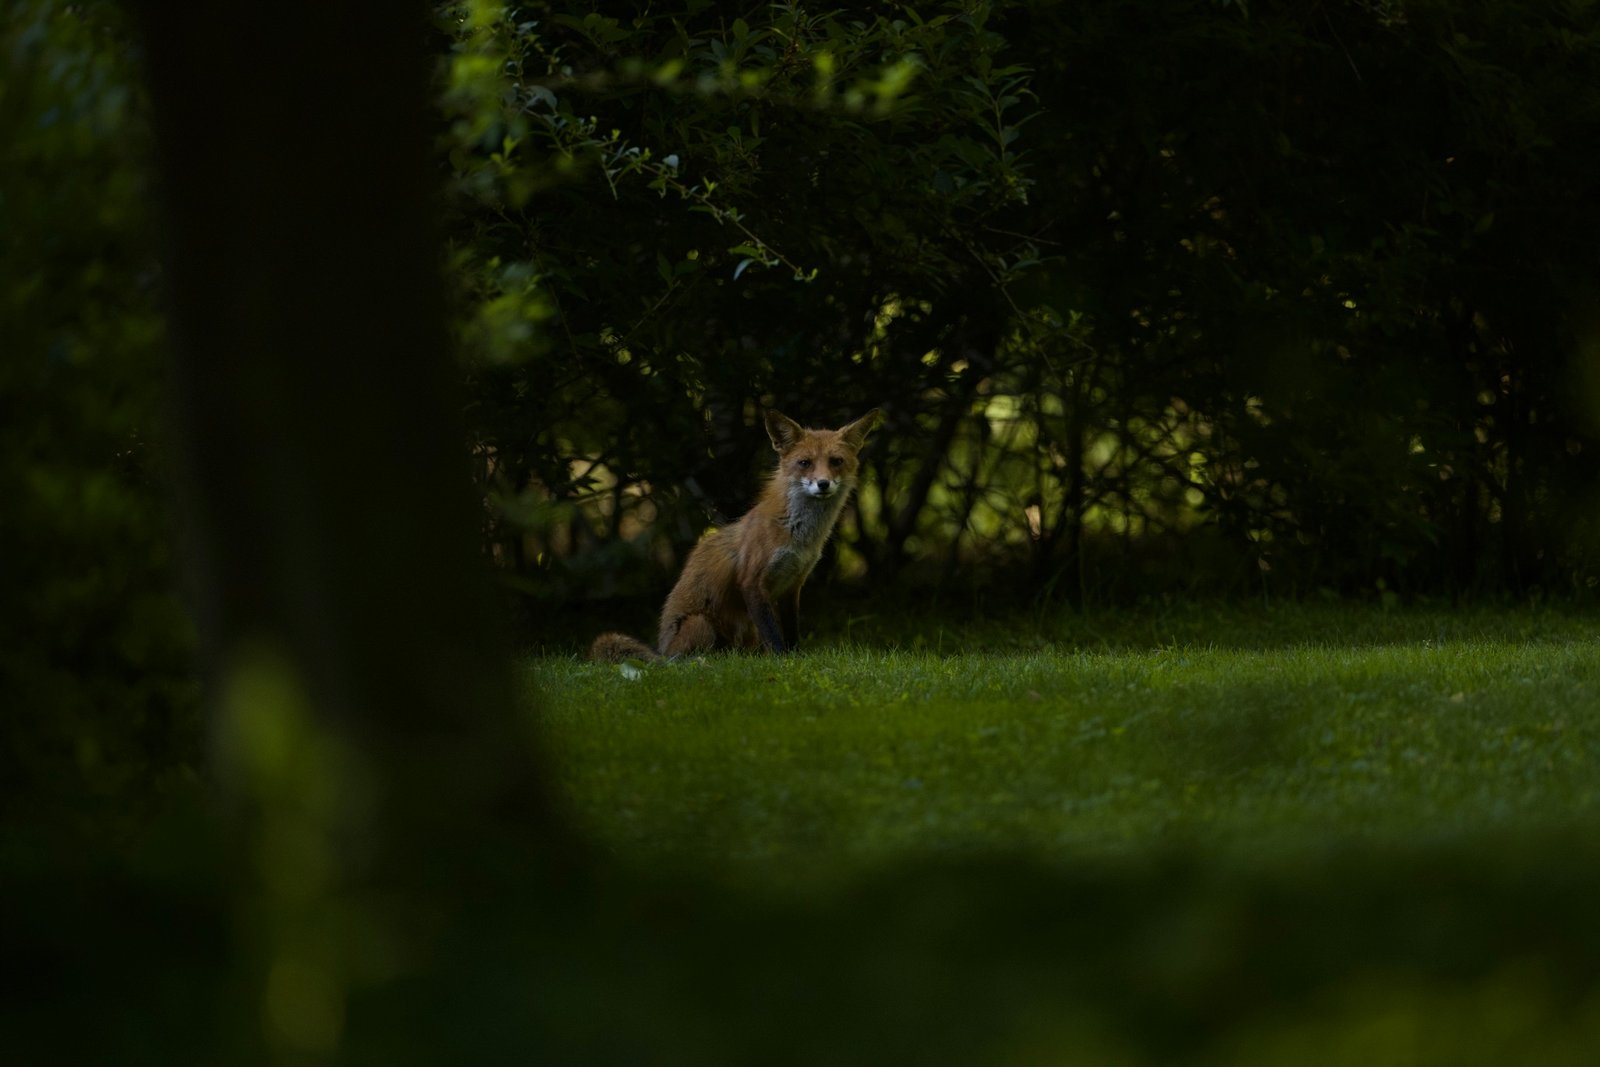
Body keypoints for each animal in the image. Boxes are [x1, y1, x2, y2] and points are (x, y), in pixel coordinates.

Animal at [590, 408, 883, 661]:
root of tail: (661, 649)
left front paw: (796, 657)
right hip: (701, 623)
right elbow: (773, 635)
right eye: (804, 463)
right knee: (680, 660)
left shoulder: (793, 584)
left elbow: (791, 632)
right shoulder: (752, 581)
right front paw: (782, 661)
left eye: (836, 462)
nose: (823, 484)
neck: (796, 532)